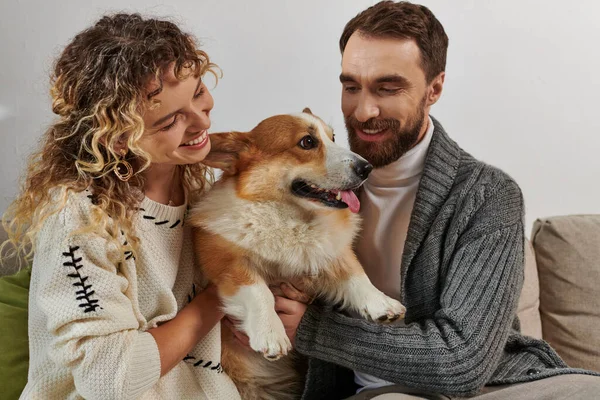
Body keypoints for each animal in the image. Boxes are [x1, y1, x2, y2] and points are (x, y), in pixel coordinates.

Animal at [190, 109, 406, 400]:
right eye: (307, 142)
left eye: (333, 137)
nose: (367, 168)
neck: (295, 218)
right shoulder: (224, 259)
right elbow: (259, 290)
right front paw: (270, 333)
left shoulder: (332, 252)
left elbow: (356, 276)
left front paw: (382, 304)